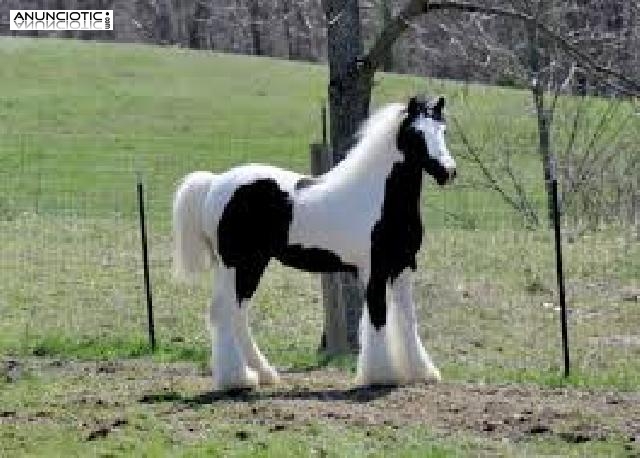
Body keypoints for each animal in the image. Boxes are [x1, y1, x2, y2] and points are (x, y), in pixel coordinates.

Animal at [172, 96, 457, 390]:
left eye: (443, 130)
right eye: (416, 134)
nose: (448, 172)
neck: (379, 198)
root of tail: (215, 182)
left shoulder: (402, 267)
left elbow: (407, 318)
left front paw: (421, 371)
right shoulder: (374, 271)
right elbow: (378, 318)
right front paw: (381, 376)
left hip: (244, 266)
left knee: (236, 313)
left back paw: (262, 374)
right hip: (238, 265)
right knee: (224, 313)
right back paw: (238, 380)